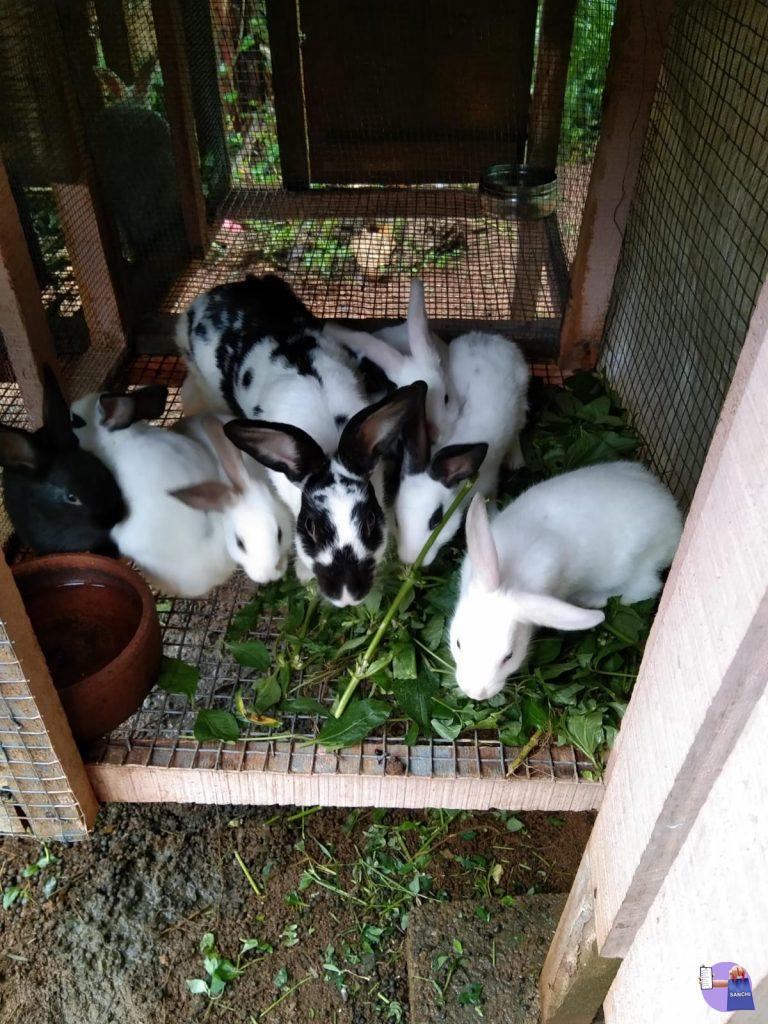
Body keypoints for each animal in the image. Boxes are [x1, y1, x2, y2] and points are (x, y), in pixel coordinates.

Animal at [394, 330, 530, 566]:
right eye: (396, 517)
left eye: (436, 520)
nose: (410, 559)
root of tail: (492, 338)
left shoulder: (489, 484)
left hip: (521, 400)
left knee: (516, 432)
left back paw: (516, 461)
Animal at [449, 462, 683, 700]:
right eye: (458, 643)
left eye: (509, 656)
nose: (476, 693)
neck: (508, 577)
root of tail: (673, 515)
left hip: (639, 566)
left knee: (645, 588)